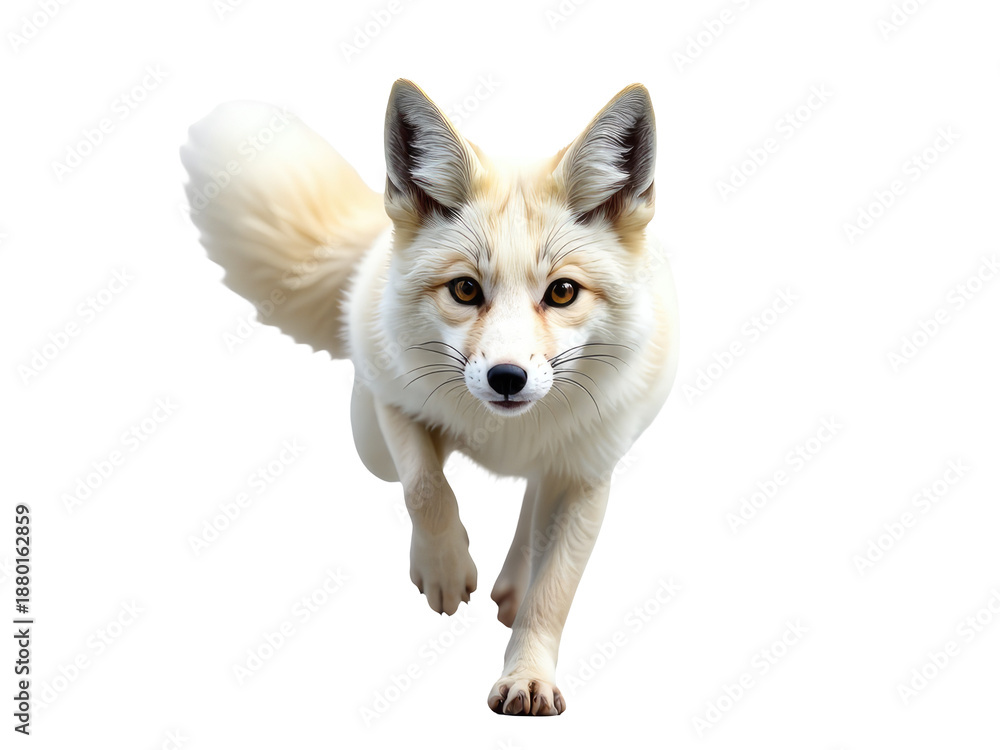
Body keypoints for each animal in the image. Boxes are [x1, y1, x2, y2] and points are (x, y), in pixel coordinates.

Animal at [180, 79, 678, 716]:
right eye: (465, 289)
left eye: (563, 292)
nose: (508, 378)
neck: (506, 437)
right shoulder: (393, 399)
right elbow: (425, 489)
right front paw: (444, 569)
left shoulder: (588, 475)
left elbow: (554, 592)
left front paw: (527, 676)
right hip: (367, 441)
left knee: (533, 503)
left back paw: (514, 581)